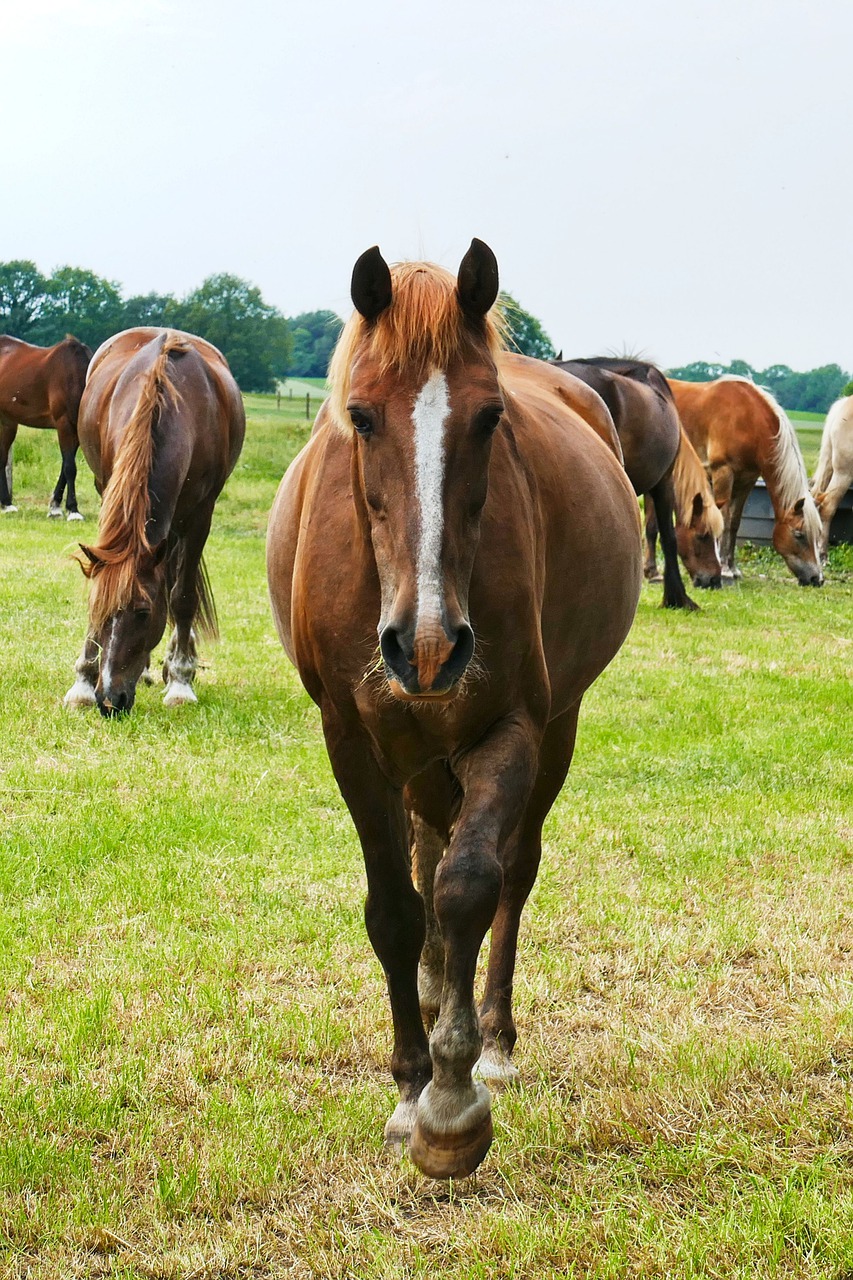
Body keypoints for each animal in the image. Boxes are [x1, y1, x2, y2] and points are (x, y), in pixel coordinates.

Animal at [0, 332, 92, 517]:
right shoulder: (64, 424)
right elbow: (70, 467)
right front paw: (73, 510)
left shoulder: (75, 431)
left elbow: (65, 466)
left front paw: (55, 505)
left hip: (8, 423)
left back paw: (6, 503)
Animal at [64, 325, 244, 716]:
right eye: (100, 610)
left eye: (144, 613)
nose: (109, 700)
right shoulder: (108, 492)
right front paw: (82, 681)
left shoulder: (200, 516)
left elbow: (182, 597)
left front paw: (180, 682)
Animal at [266, 240, 637, 1177]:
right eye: (360, 417)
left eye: (489, 417)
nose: (427, 647)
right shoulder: (351, 741)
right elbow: (395, 909)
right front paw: (409, 1088)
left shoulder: (511, 728)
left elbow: (472, 884)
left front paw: (452, 1100)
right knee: (424, 852)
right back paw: (436, 994)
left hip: (555, 727)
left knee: (508, 867)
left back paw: (491, 1036)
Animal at [550, 355, 717, 604]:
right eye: (703, 536)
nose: (715, 580)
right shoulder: (663, 483)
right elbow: (667, 536)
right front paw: (677, 596)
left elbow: (650, 528)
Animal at [666, 373, 819, 586]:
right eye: (800, 534)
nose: (817, 578)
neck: (748, 419)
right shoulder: (723, 472)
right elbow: (722, 520)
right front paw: (723, 569)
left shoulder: (747, 480)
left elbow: (733, 523)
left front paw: (732, 568)